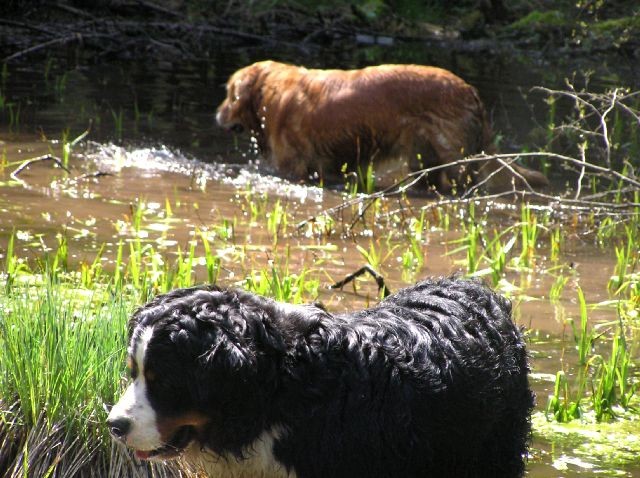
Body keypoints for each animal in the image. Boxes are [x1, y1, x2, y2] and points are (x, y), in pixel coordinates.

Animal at [218, 61, 548, 192]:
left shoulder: (293, 165)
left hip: (454, 158)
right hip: (423, 155)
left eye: (229, 93)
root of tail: (470, 91)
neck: (268, 91)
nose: (217, 114)